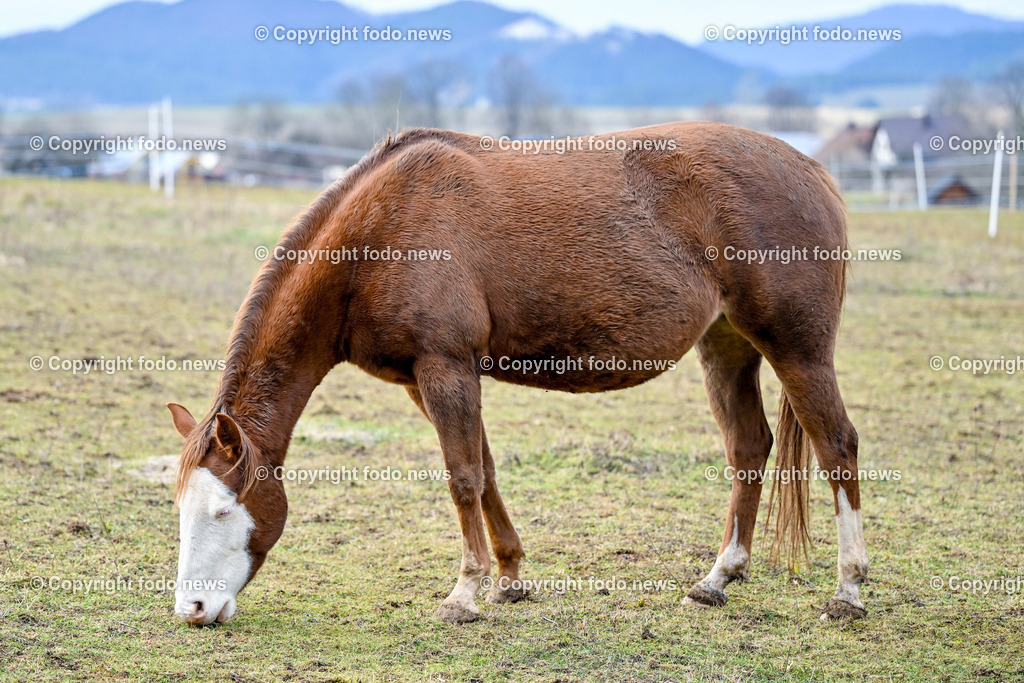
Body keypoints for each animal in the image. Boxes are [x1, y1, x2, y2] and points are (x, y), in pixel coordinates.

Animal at [166, 122, 868, 626]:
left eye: (225, 511)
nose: (193, 610)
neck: (382, 228)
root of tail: (811, 170)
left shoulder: (446, 367)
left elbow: (463, 479)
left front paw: (464, 593)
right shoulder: (424, 381)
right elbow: (486, 470)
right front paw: (509, 578)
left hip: (798, 350)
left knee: (837, 446)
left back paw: (849, 590)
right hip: (726, 347)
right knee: (749, 448)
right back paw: (719, 577)